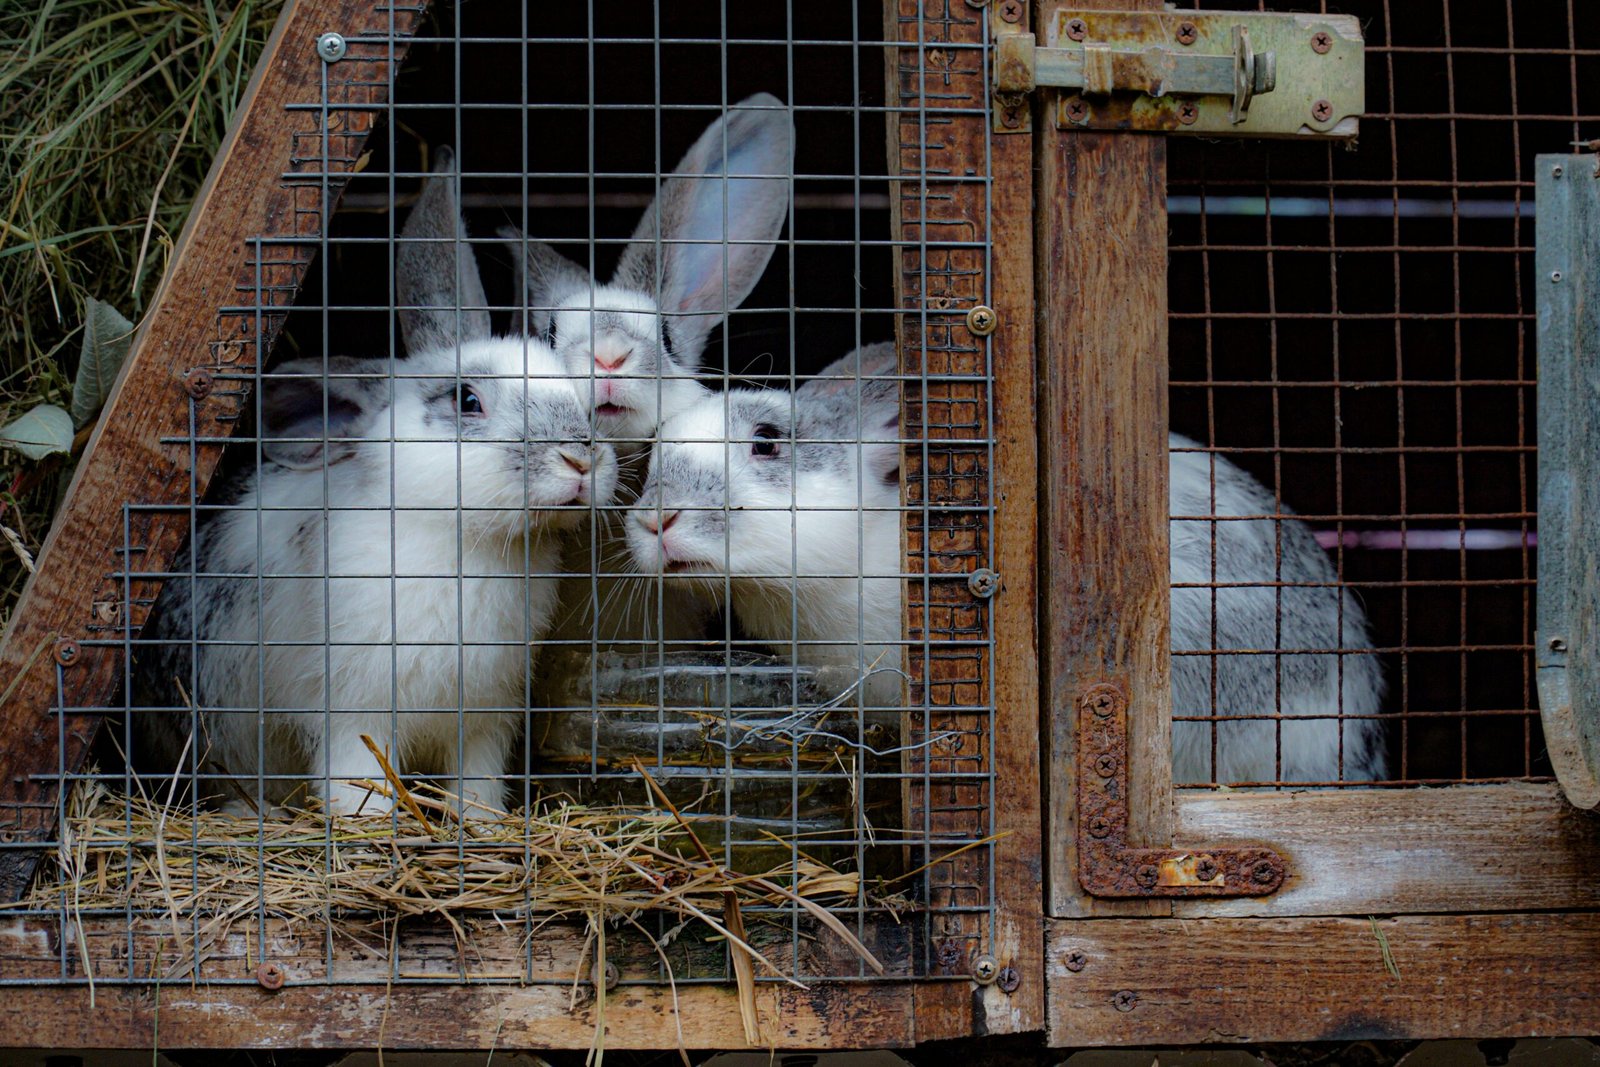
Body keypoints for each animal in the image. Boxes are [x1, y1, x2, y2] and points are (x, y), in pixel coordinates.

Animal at [137, 152, 619, 816]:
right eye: (467, 401)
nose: (580, 459)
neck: (465, 540)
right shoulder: (352, 713)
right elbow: (356, 779)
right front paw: (365, 822)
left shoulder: (484, 719)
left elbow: (477, 783)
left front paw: (482, 821)